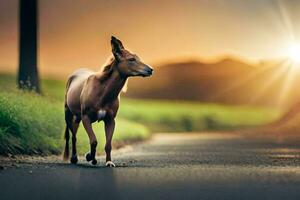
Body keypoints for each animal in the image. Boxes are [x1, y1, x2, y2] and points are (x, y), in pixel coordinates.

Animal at [62, 36, 152, 167]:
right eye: (131, 59)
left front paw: (108, 161)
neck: (102, 92)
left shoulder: (110, 120)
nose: (150, 70)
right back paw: (73, 158)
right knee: (72, 136)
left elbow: (108, 144)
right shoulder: (86, 117)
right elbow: (93, 140)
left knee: (74, 133)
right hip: (68, 114)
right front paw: (89, 156)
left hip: (77, 117)